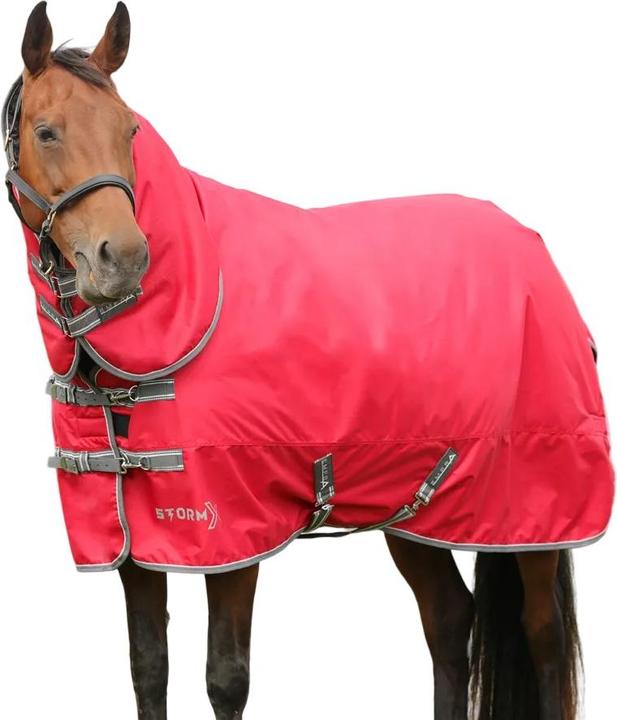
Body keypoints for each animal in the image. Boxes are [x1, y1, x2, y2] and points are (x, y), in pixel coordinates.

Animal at [4, 3, 612, 719]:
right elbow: (147, 667)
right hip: (416, 503)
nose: (123, 259)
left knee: (541, 634)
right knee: (448, 620)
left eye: (130, 129)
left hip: (538, 513)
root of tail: (539, 257)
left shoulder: (236, 530)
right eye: (46, 131)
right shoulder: (133, 540)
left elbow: (225, 677)